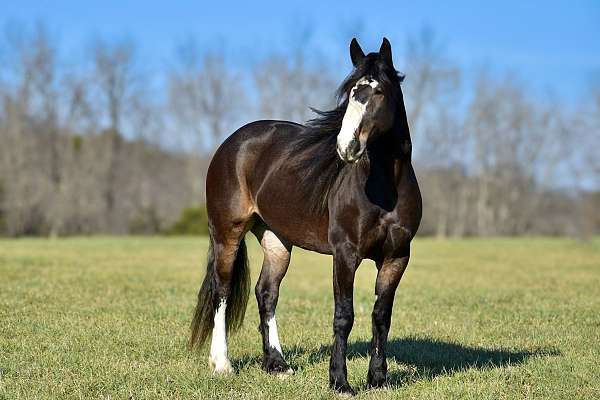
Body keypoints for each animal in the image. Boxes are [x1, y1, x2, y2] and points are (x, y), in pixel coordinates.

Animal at [191, 38, 422, 396]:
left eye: (379, 91)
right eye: (351, 92)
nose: (346, 146)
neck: (386, 187)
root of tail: (235, 141)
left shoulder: (397, 256)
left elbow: (381, 315)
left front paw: (378, 380)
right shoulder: (345, 254)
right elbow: (344, 315)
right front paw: (340, 382)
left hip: (276, 240)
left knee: (266, 293)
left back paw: (277, 365)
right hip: (226, 234)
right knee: (222, 291)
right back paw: (222, 364)